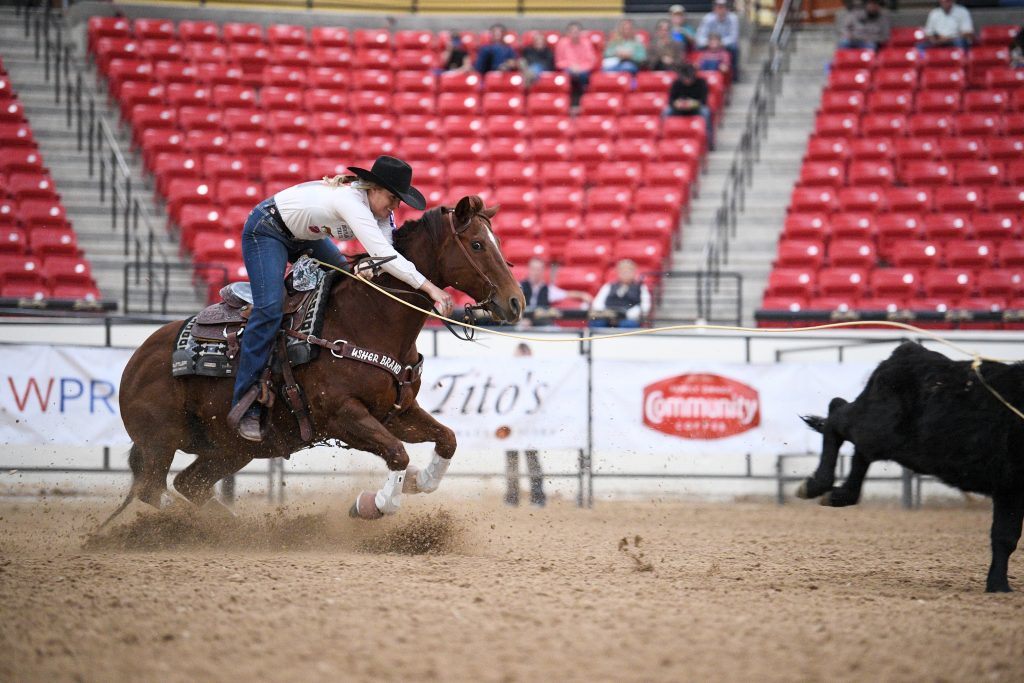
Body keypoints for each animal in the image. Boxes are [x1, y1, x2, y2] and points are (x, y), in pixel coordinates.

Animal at [108, 194, 524, 528]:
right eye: (477, 244)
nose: (516, 301)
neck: (367, 318)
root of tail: (137, 360)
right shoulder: (342, 415)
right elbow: (397, 453)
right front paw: (373, 504)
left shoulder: (396, 412)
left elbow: (446, 439)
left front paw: (417, 481)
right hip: (161, 441)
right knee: (153, 489)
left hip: (229, 448)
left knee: (188, 484)